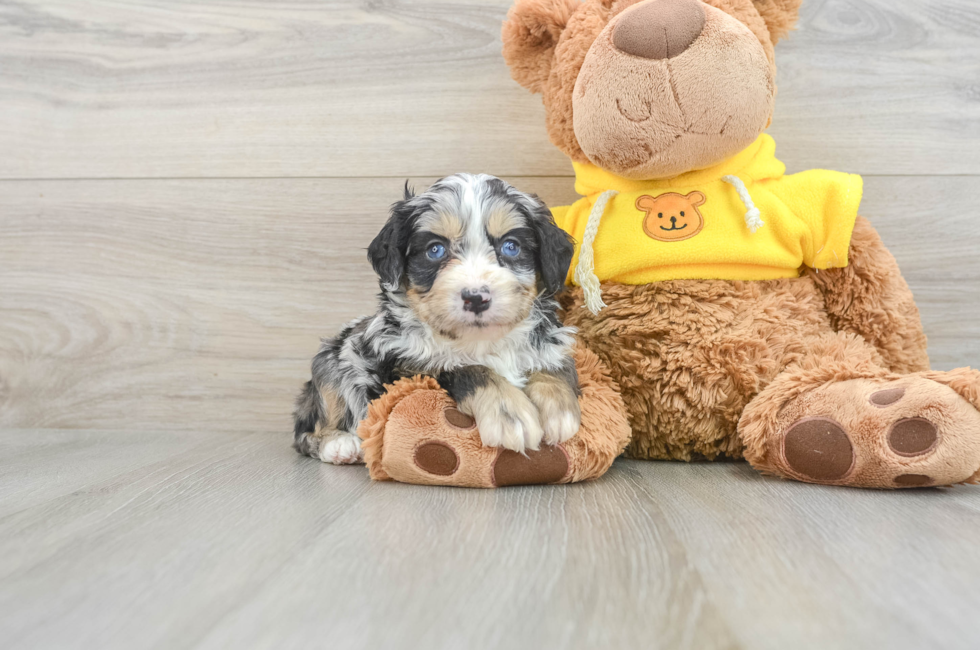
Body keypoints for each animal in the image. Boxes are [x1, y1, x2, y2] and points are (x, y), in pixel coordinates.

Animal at [290, 175, 580, 464]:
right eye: (435, 250)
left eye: (511, 246)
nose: (476, 298)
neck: (480, 342)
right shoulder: (405, 368)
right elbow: (465, 368)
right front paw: (508, 412)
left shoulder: (549, 346)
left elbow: (553, 366)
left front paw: (560, 410)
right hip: (330, 362)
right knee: (307, 430)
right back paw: (340, 444)